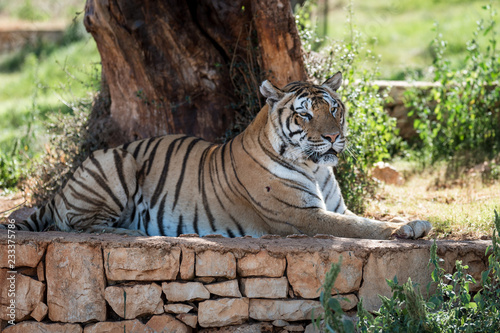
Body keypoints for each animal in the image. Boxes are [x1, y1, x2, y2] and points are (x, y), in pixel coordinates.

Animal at [2, 72, 430, 239]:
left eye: (335, 109)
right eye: (304, 114)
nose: (333, 137)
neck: (315, 167)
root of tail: (60, 188)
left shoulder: (334, 207)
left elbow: (367, 218)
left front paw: (407, 222)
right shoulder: (301, 217)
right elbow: (361, 228)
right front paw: (406, 228)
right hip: (114, 165)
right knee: (81, 226)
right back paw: (135, 231)